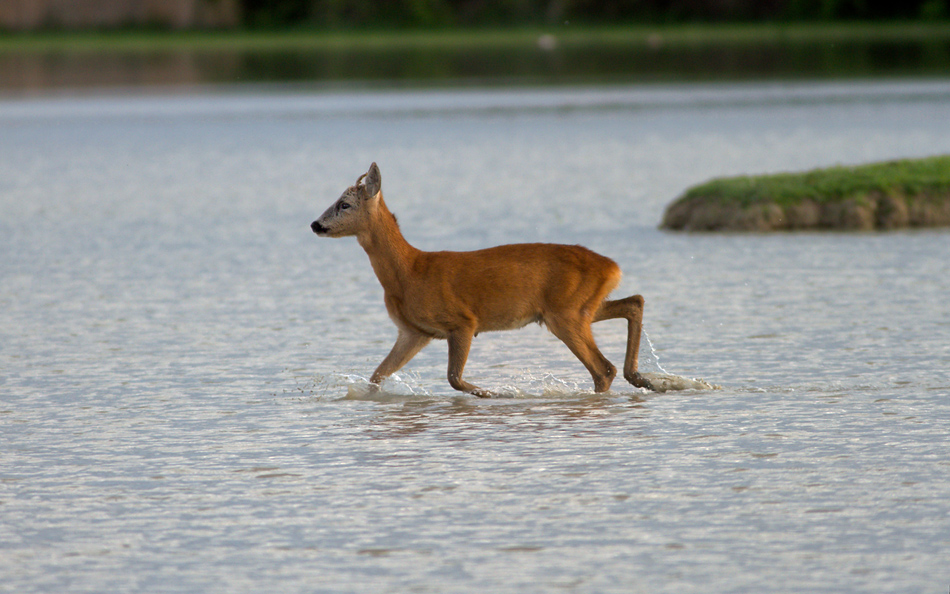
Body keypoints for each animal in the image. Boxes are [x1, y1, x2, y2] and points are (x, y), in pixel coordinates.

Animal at [312, 161, 656, 398]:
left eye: (344, 204)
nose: (315, 224)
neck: (409, 272)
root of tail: (612, 267)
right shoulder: (413, 332)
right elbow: (375, 378)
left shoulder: (463, 321)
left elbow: (454, 378)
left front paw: (496, 393)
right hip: (579, 307)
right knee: (634, 303)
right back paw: (643, 378)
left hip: (565, 313)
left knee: (603, 368)